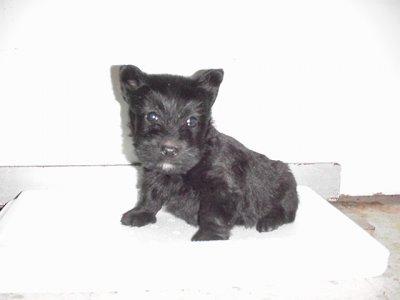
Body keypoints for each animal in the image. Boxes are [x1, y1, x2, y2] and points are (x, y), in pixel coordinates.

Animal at [118, 65, 296, 241]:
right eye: (152, 116)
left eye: (192, 121)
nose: (169, 149)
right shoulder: (154, 174)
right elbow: (150, 195)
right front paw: (141, 213)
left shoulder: (221, 186)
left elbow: (213, 212)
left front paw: (210, 234)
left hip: (285, 185)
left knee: (286, 211)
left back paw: (269, 221)